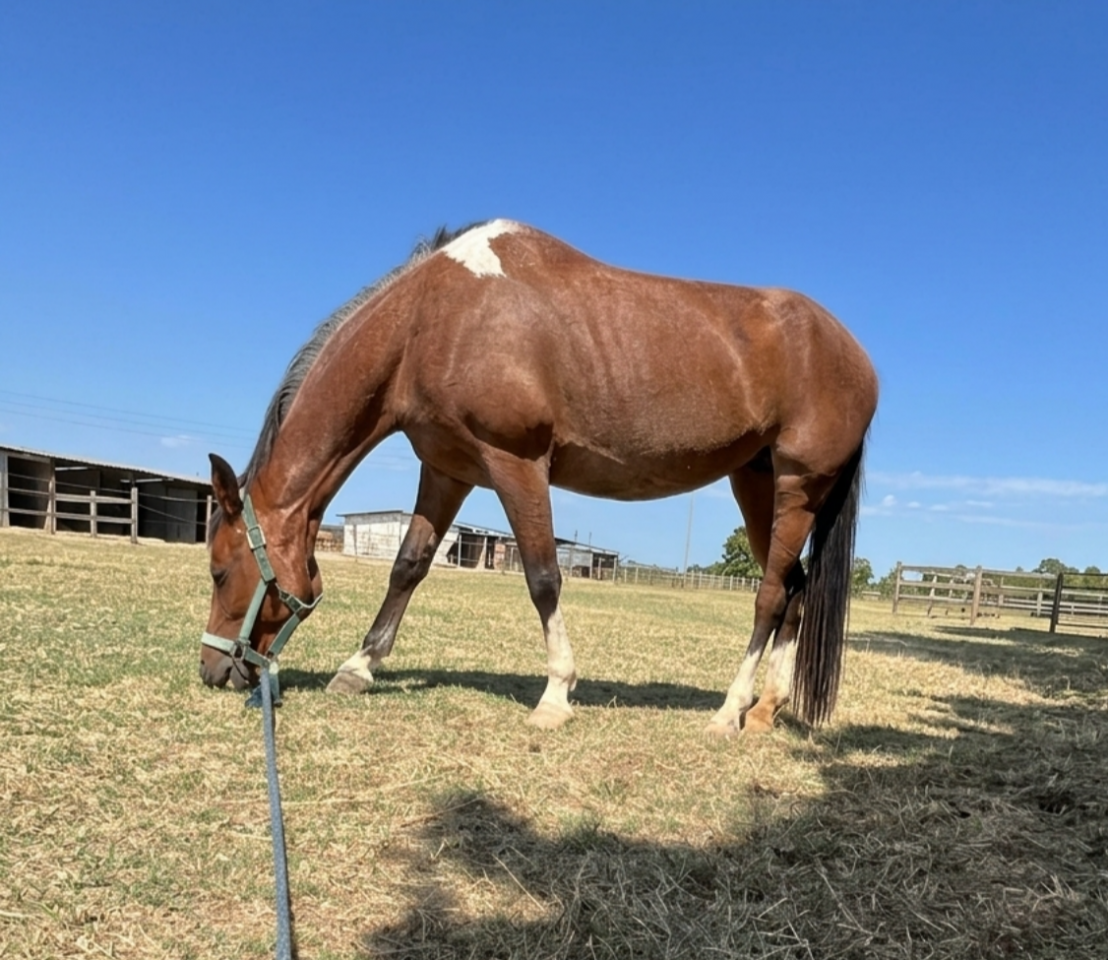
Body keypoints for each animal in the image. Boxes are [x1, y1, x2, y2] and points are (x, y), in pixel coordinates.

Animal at [199, 220, 877, 734]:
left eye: (220, 570)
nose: (212, 670)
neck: (433, 319)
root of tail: (856, 356)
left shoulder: (516, 463)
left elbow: (543, 576)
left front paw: (555, 695)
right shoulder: (447, 469)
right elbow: (409, 566)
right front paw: (358, 667)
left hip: (798, 486)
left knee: (770, 596)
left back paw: (727, 712)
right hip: (757, 483)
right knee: (794, 589)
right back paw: (764, 710)